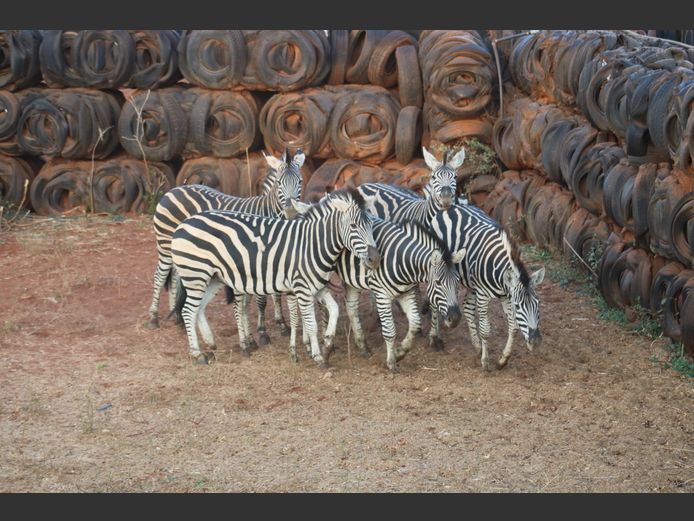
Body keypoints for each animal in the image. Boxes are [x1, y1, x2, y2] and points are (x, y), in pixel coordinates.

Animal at [147, 148, 304, 342]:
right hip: (165, 243)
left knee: (176, 277)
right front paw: (262, 332)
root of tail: (175, 189)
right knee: (160, 277)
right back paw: (154, 318)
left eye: (300, 182)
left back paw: (177, 318)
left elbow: (274, 293)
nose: (291, 211)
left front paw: (281, 324)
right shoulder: (257, 260)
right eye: (279, 183)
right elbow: (261, 298)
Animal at [169, 187, 380, 366]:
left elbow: (334, 310)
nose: (375, 259)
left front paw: (327, 343)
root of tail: (185, 222)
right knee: (188, 310)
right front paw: (318, 356)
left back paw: (211, 344)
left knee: (199, 309)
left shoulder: (317, 287)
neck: (312, 244)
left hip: (213, 278)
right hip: (196, 275)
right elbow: (310, 323)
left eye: (371, 224)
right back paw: (198, 355)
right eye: (353, 226)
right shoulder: (302, 288)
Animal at [334, 217, 465, 372]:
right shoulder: (382, 294)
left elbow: (415, 324)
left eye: (457, 282)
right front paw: (391, 362)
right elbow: (390, 331)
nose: (455, 318)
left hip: (352, 280)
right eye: (438, 283)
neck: (401, 261)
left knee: (351, 308)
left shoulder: (407, 292)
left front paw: (400, 353)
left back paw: (363, 347)